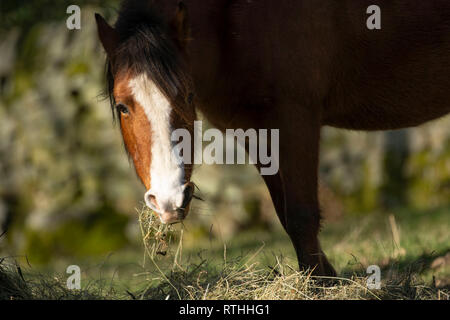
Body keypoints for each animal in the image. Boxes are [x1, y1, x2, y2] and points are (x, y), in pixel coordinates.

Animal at [95, 0, 450, 276]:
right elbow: (284, 213)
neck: (233, 18)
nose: (169, 202)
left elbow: (301, 214)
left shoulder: (295, 118)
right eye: (123, 106)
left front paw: (320, 285)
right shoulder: (255, 132)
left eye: (188, 95)